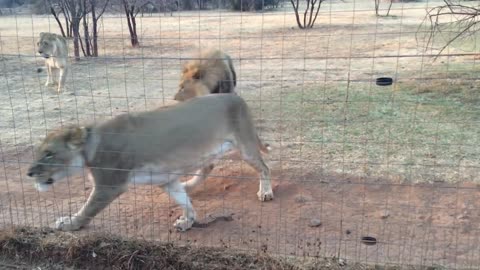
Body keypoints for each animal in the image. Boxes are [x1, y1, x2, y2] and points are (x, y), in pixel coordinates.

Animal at [27, 94, 274, 231]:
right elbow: (183, 200)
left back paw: (266, 192)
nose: (29, 173)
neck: (90, 146)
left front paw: (69, 224)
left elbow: (87, 209)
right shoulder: (166, 180)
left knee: (264, 167)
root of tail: (237, 97)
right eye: (40, 152)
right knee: (208, 166)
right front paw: (188, 221)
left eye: (48, 153)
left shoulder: (109, 185)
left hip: (244, 145)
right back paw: (189, 184)